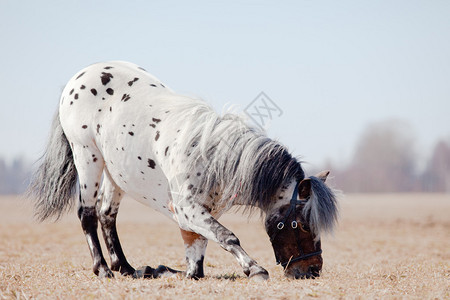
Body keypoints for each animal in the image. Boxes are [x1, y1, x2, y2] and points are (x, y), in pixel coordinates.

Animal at [28, 61, 338, 282]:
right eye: (302, 224)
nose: (313, 270)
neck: (212, 157)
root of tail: (78, 78)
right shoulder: (187, 209)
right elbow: (227, 237)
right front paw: (254, 269)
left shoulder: (197, 215)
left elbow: (197, 256)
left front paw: (167, 270)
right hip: (88, 157)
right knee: (88, 214)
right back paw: (103, 268)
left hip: (116, 173)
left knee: (107, 215)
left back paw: (126, 267)